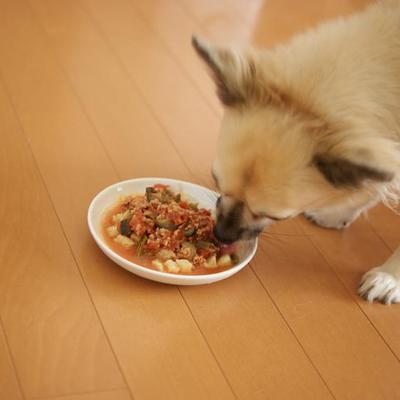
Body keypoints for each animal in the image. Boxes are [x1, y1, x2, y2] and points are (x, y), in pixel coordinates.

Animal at [192, 0, 400, 304]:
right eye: (216, 181)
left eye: (278, 217)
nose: (221, 234)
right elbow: (376, 179)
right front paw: (343, 208)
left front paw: (390, 277)